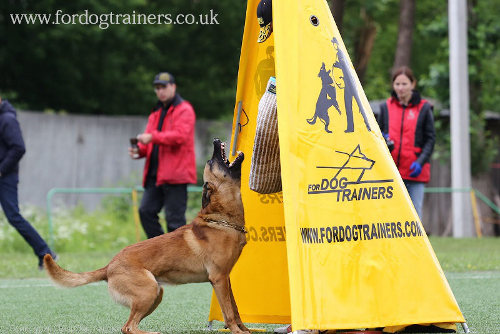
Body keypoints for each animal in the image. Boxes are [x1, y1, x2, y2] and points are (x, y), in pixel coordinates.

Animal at [43, 139, 248, 334]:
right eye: (211, 162)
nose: (215, 141)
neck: (221, 219)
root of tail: (109, 266)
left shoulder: (226, 279)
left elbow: (236, 309)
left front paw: (244, 329)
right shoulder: (218, 278)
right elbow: (229, 312)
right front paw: (237, 331)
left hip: (156, 293)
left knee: (128, 326)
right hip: (149, 291)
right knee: (128, 327)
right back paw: (153, 332)